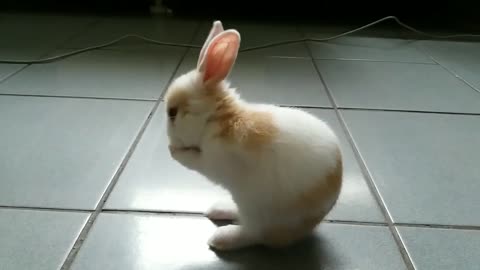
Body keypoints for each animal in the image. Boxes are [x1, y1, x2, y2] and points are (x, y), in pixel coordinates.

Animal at [164, 20, 342, 251]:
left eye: (172, 113)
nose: (170, 141)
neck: (216, 120)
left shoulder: (213, 160)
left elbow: (193, 160)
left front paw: (174, 152)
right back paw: (218, 208)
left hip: (258, 214)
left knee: (252, 235)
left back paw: (220, 238)